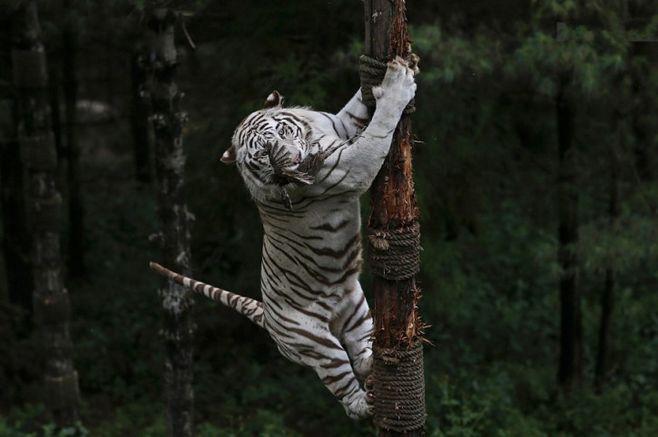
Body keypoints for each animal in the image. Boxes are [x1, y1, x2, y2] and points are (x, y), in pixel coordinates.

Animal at [151, 57, 417, 419]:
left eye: (282, 132)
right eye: (263, 155)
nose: (294, 163)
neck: (314, 133)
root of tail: (266, 314)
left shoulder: (339, 124)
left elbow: (356, 108)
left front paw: (377, 74)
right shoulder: (350, 165)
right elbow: (379, 128)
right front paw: (398, 86)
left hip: (357, 310)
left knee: (360, 354)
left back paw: (373, 362)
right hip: (317, 344)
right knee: (344, 387)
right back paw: (365, 403)